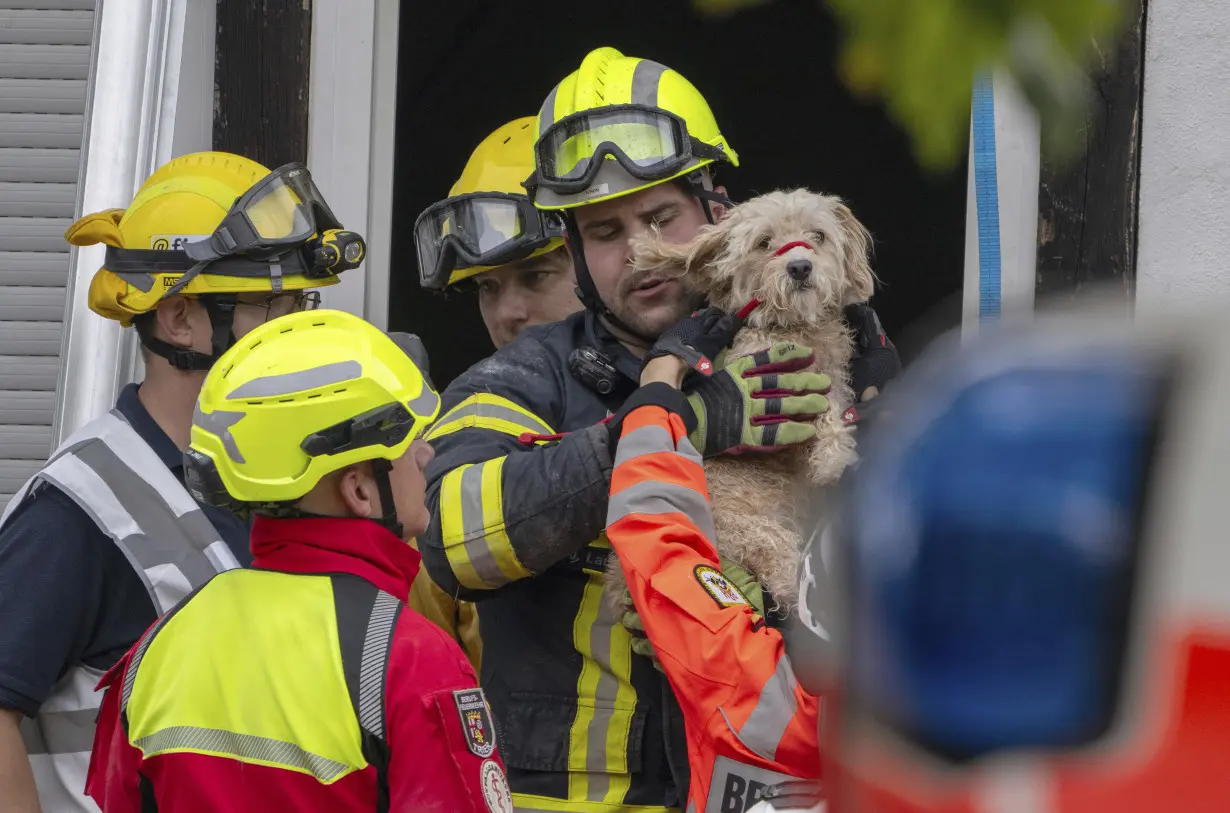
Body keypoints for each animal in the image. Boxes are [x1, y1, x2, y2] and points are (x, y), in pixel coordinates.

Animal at [605, 185, 875, 614]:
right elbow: (827, 414)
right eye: (764, 243)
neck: (789, 327)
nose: (800, 267)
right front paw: (833, 461)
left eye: (817, 236)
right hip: (762, 538)